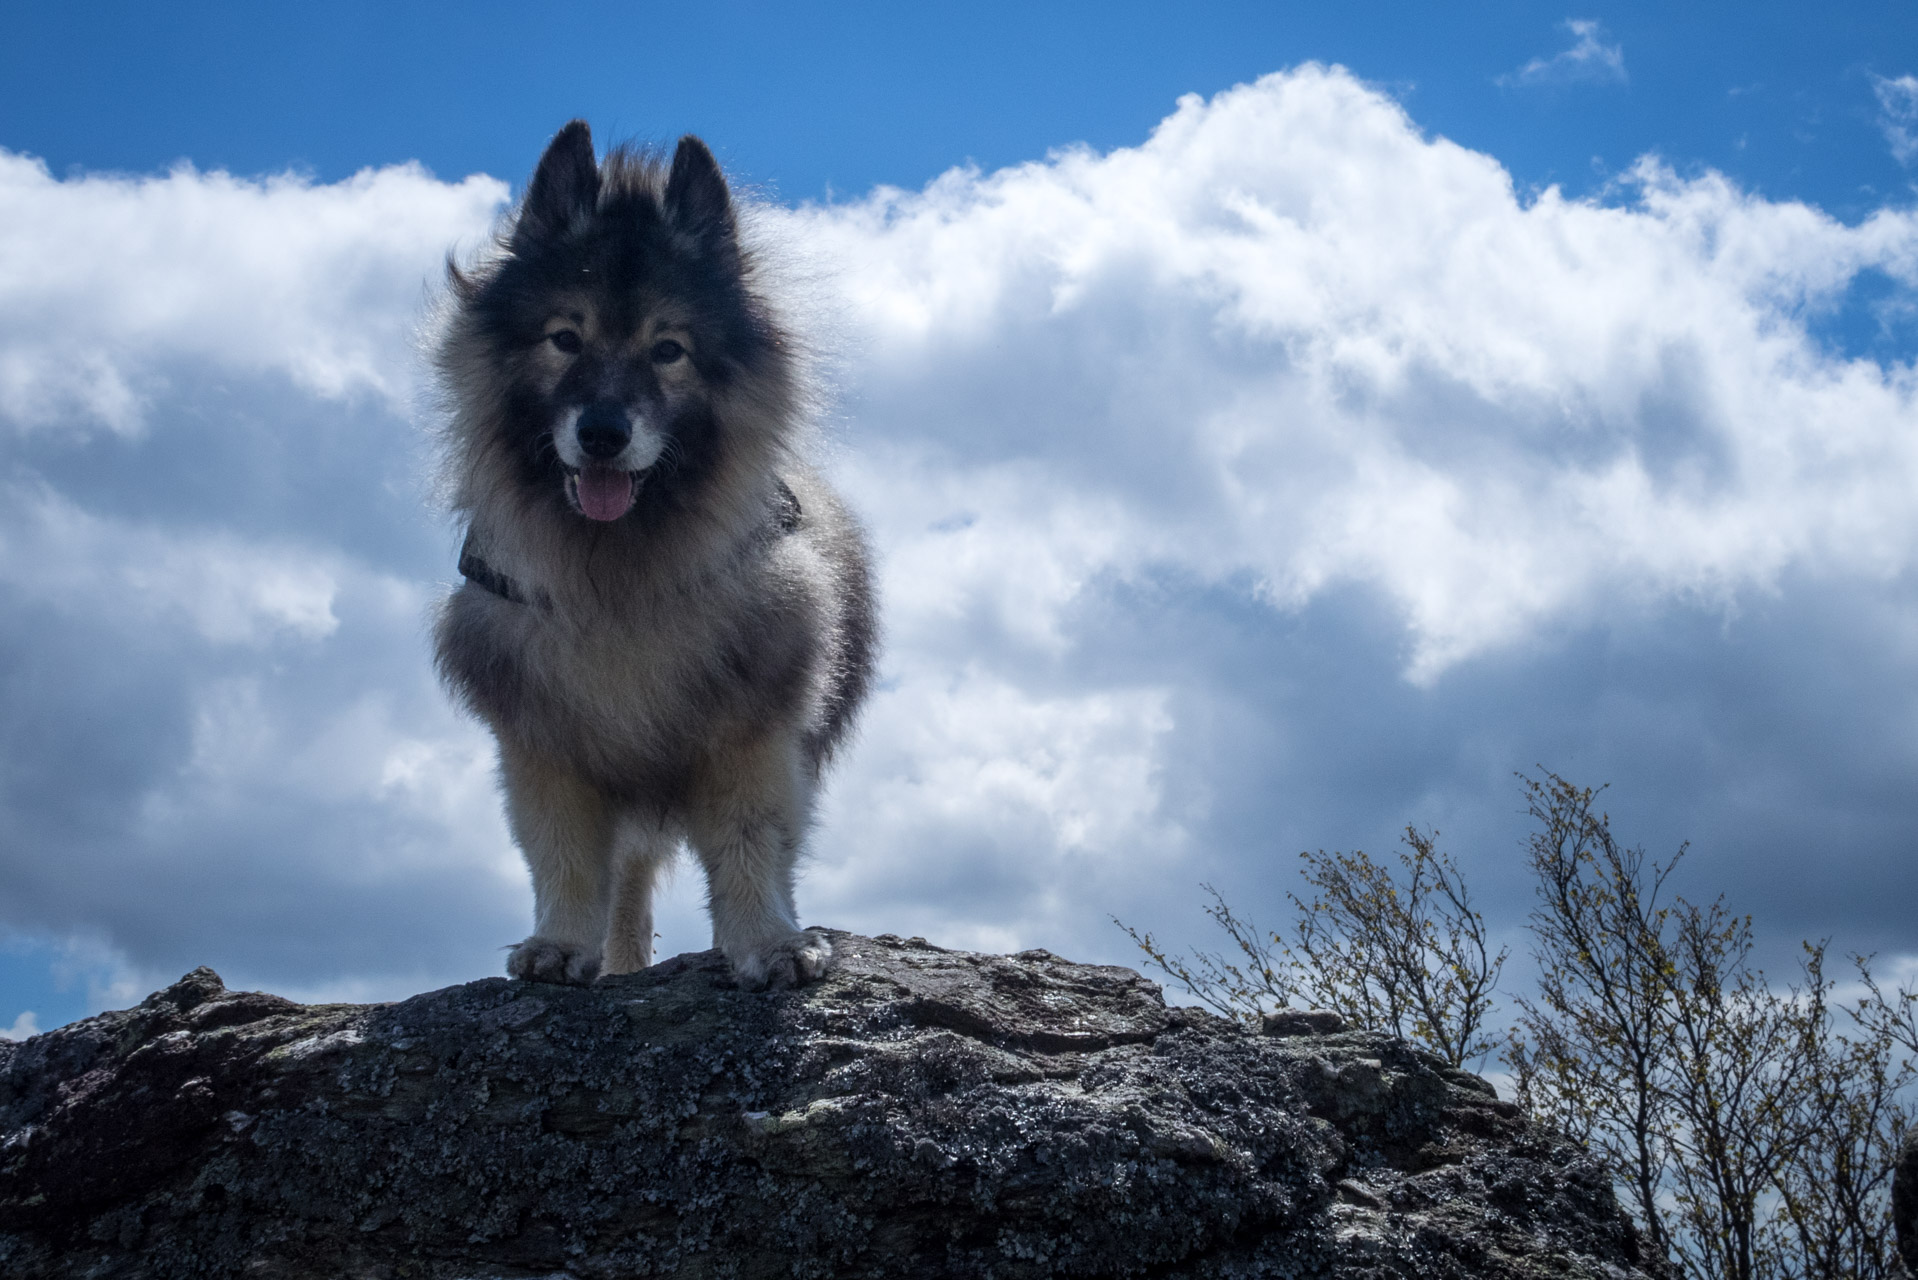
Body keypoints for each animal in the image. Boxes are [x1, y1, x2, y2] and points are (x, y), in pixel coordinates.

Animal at [431, 122, 874, 990]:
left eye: (668, 350)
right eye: (564, 339)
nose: (603, 433)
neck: (622, 577)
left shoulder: (752, 735)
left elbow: (749, 847)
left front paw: (769, 942)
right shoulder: (545, 747)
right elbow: (566, 861)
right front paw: (560, 944)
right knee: (628, 888)